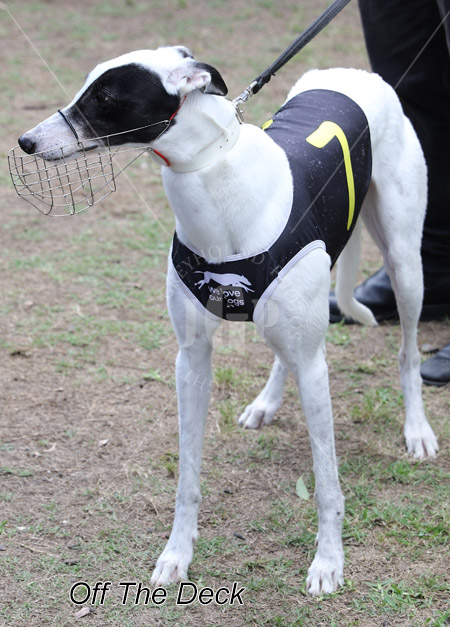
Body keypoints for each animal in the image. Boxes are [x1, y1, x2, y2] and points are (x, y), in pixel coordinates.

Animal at [17, 46, 439, 596]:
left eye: (105, 96)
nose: (26, 142)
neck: (214, 180)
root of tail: (353, 72)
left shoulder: (313, 363)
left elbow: (327, 483)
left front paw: (328, 562)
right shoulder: (191, 360)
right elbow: (187, 478)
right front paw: (177, 555)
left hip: (405, 266)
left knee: (407, 352)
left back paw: (417, 430)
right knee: (287, 355)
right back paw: (266, 403)